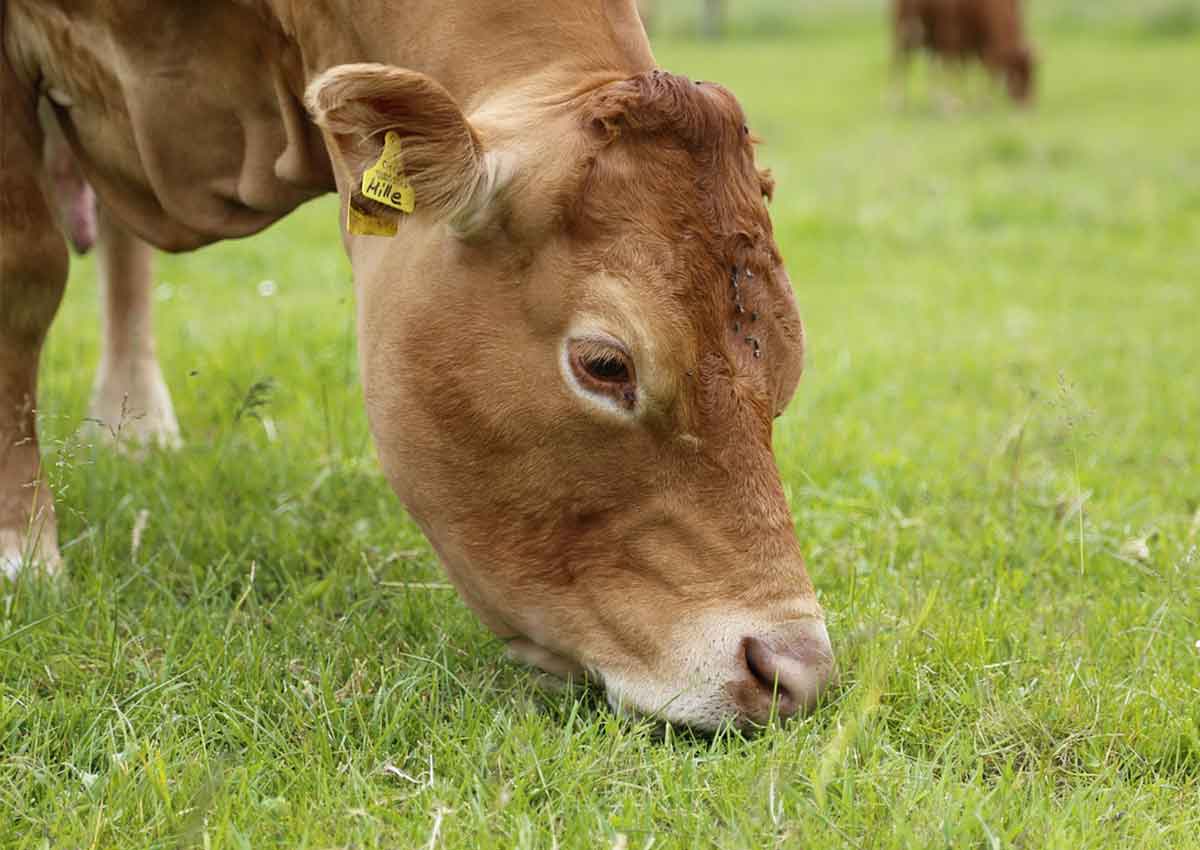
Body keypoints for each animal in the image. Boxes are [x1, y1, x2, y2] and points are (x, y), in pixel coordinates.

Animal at [897, 0, 1036, 105]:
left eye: (1033, 75)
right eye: (1015, 75)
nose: (1027, 105)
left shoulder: (974, 46)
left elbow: (972, 72)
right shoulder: (950, 38)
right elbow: (954, 71)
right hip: (905, 32)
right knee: (901, 64)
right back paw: (901, 100)